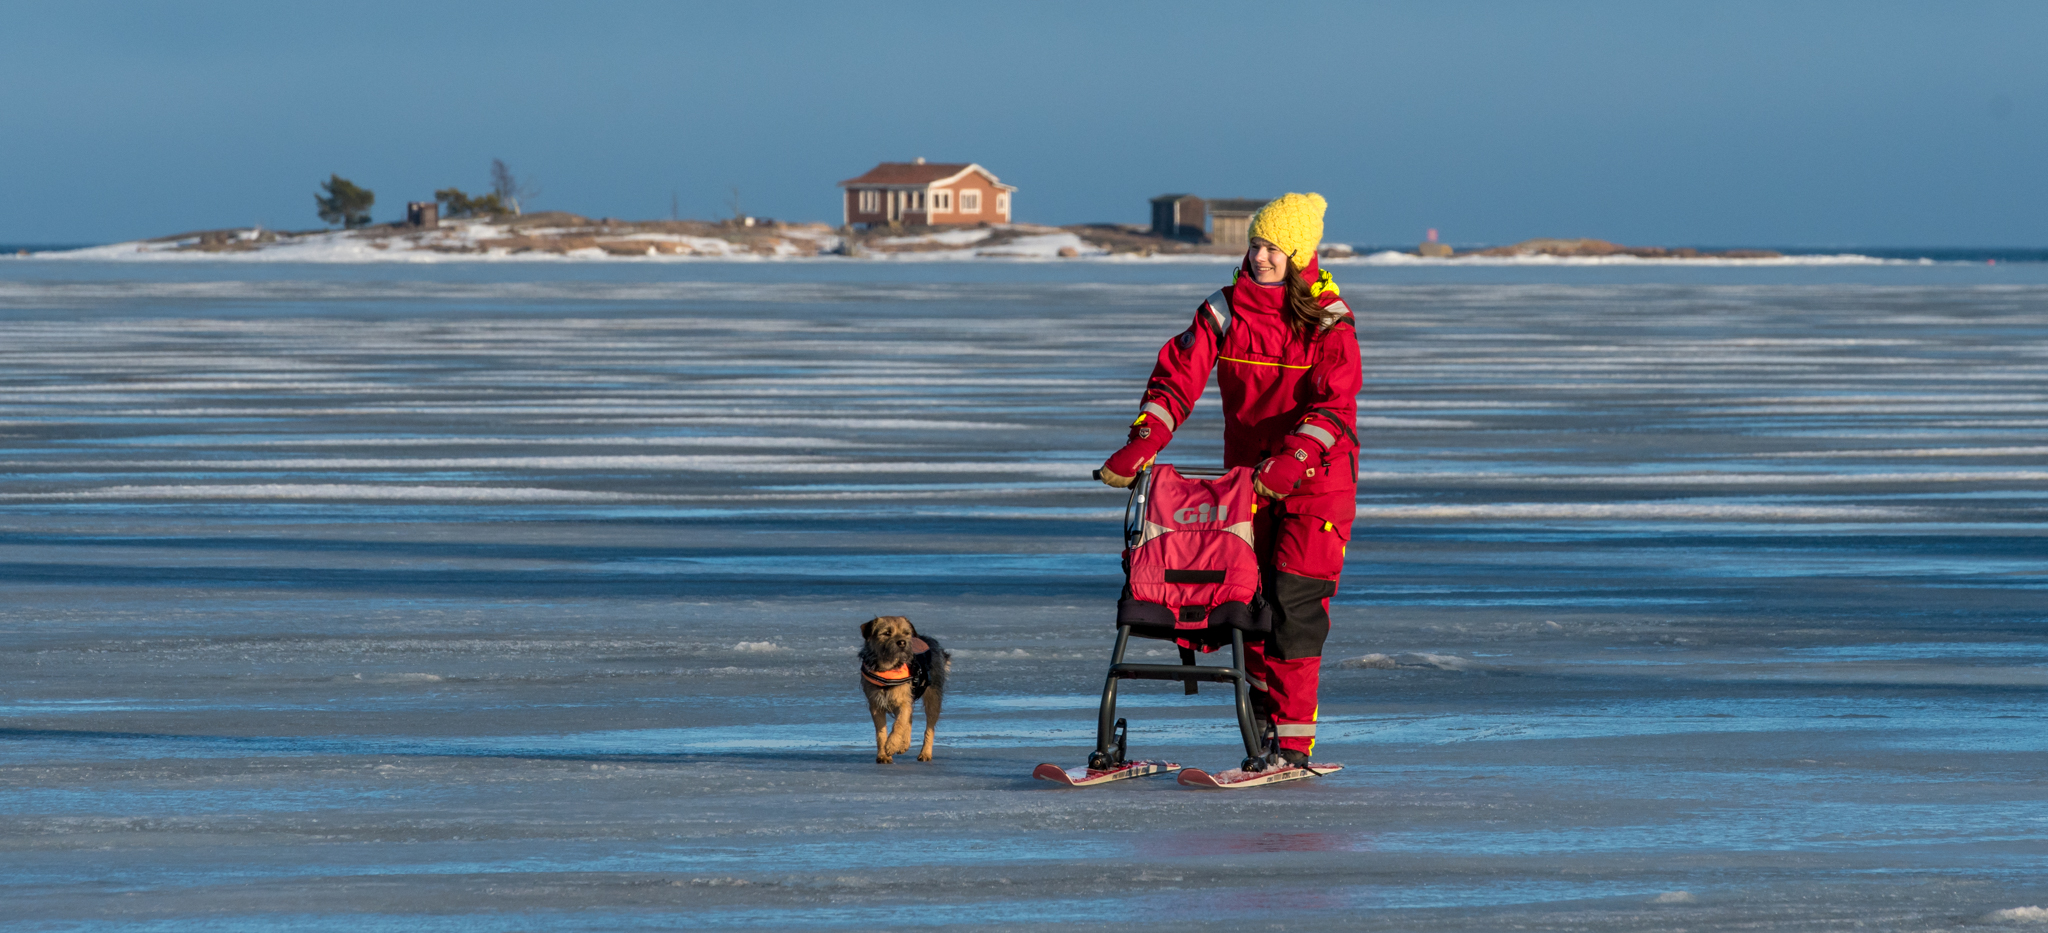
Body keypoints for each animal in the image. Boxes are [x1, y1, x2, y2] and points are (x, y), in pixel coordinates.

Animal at [868, 617, 954, 761]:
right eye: (886, 633)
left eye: (905, 633)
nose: (902, 643)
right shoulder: (876, 703)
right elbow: (881, 731)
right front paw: (883, 755)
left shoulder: (903, 700)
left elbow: (899, 723)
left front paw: (891, 745)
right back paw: (904, 744)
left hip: (933, 697)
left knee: (929, 726)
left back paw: (925, 753)